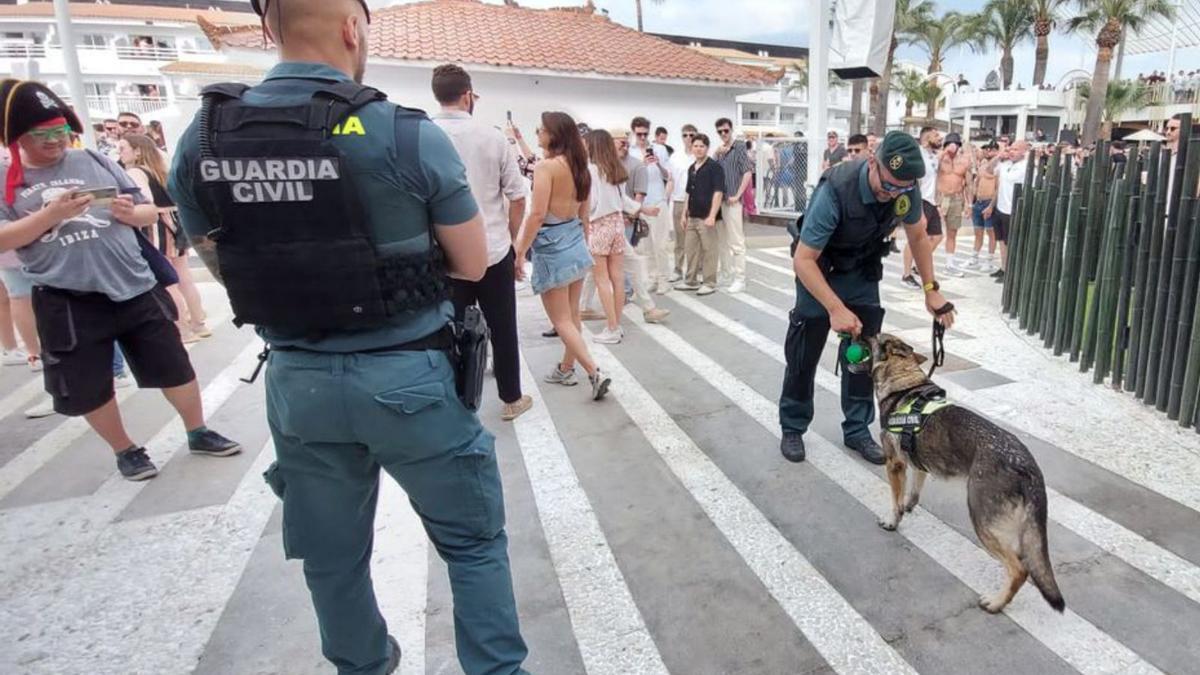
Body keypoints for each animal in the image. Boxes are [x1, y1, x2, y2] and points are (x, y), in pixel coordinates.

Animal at [868, 333, 1065, 612]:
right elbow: (913, 493)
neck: (903, 382)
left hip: (981, 518)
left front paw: (892, 521)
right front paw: (908, 506)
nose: (863, 332)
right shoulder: (919, 465)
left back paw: (996, 603)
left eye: (876, 337)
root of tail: (1026, 463)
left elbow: (895, 502)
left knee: (1019, 569)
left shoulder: (895, 465)